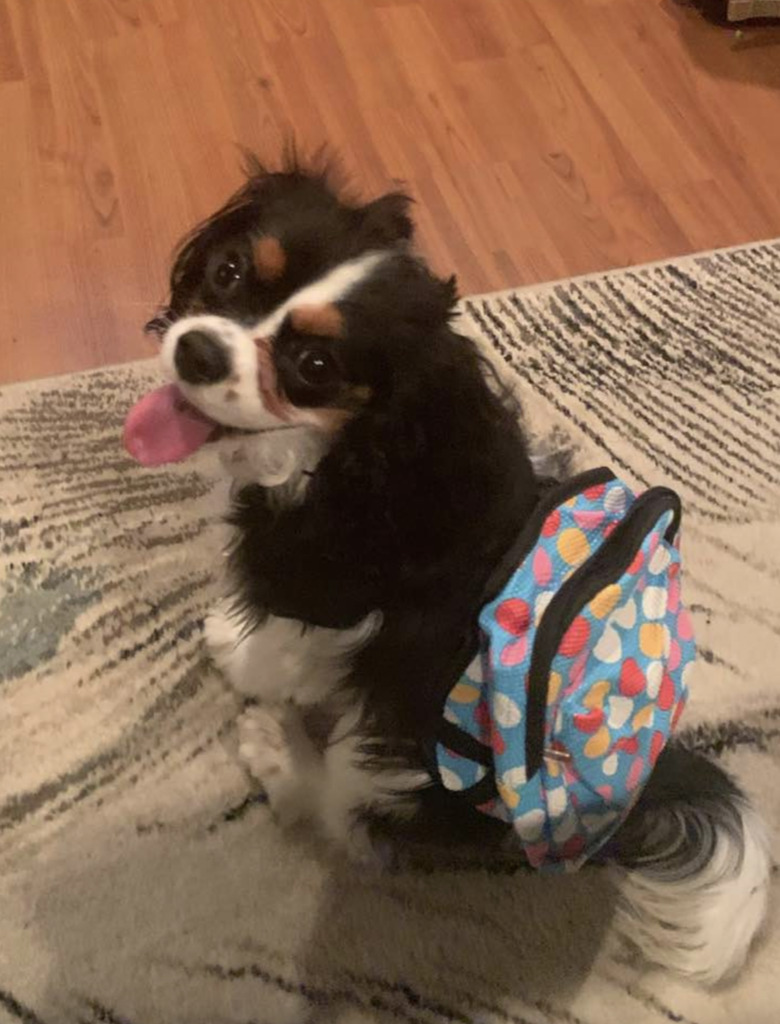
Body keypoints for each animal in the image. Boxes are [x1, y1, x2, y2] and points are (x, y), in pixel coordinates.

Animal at [124, 155, 769, 987]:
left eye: (314, 366)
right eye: (229, 271)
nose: (197, 350)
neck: (359, 451)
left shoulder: (334, 597)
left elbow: (284, 648)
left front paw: (235, 649)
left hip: (405, 758)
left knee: (346, 815)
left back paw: (278, 753)